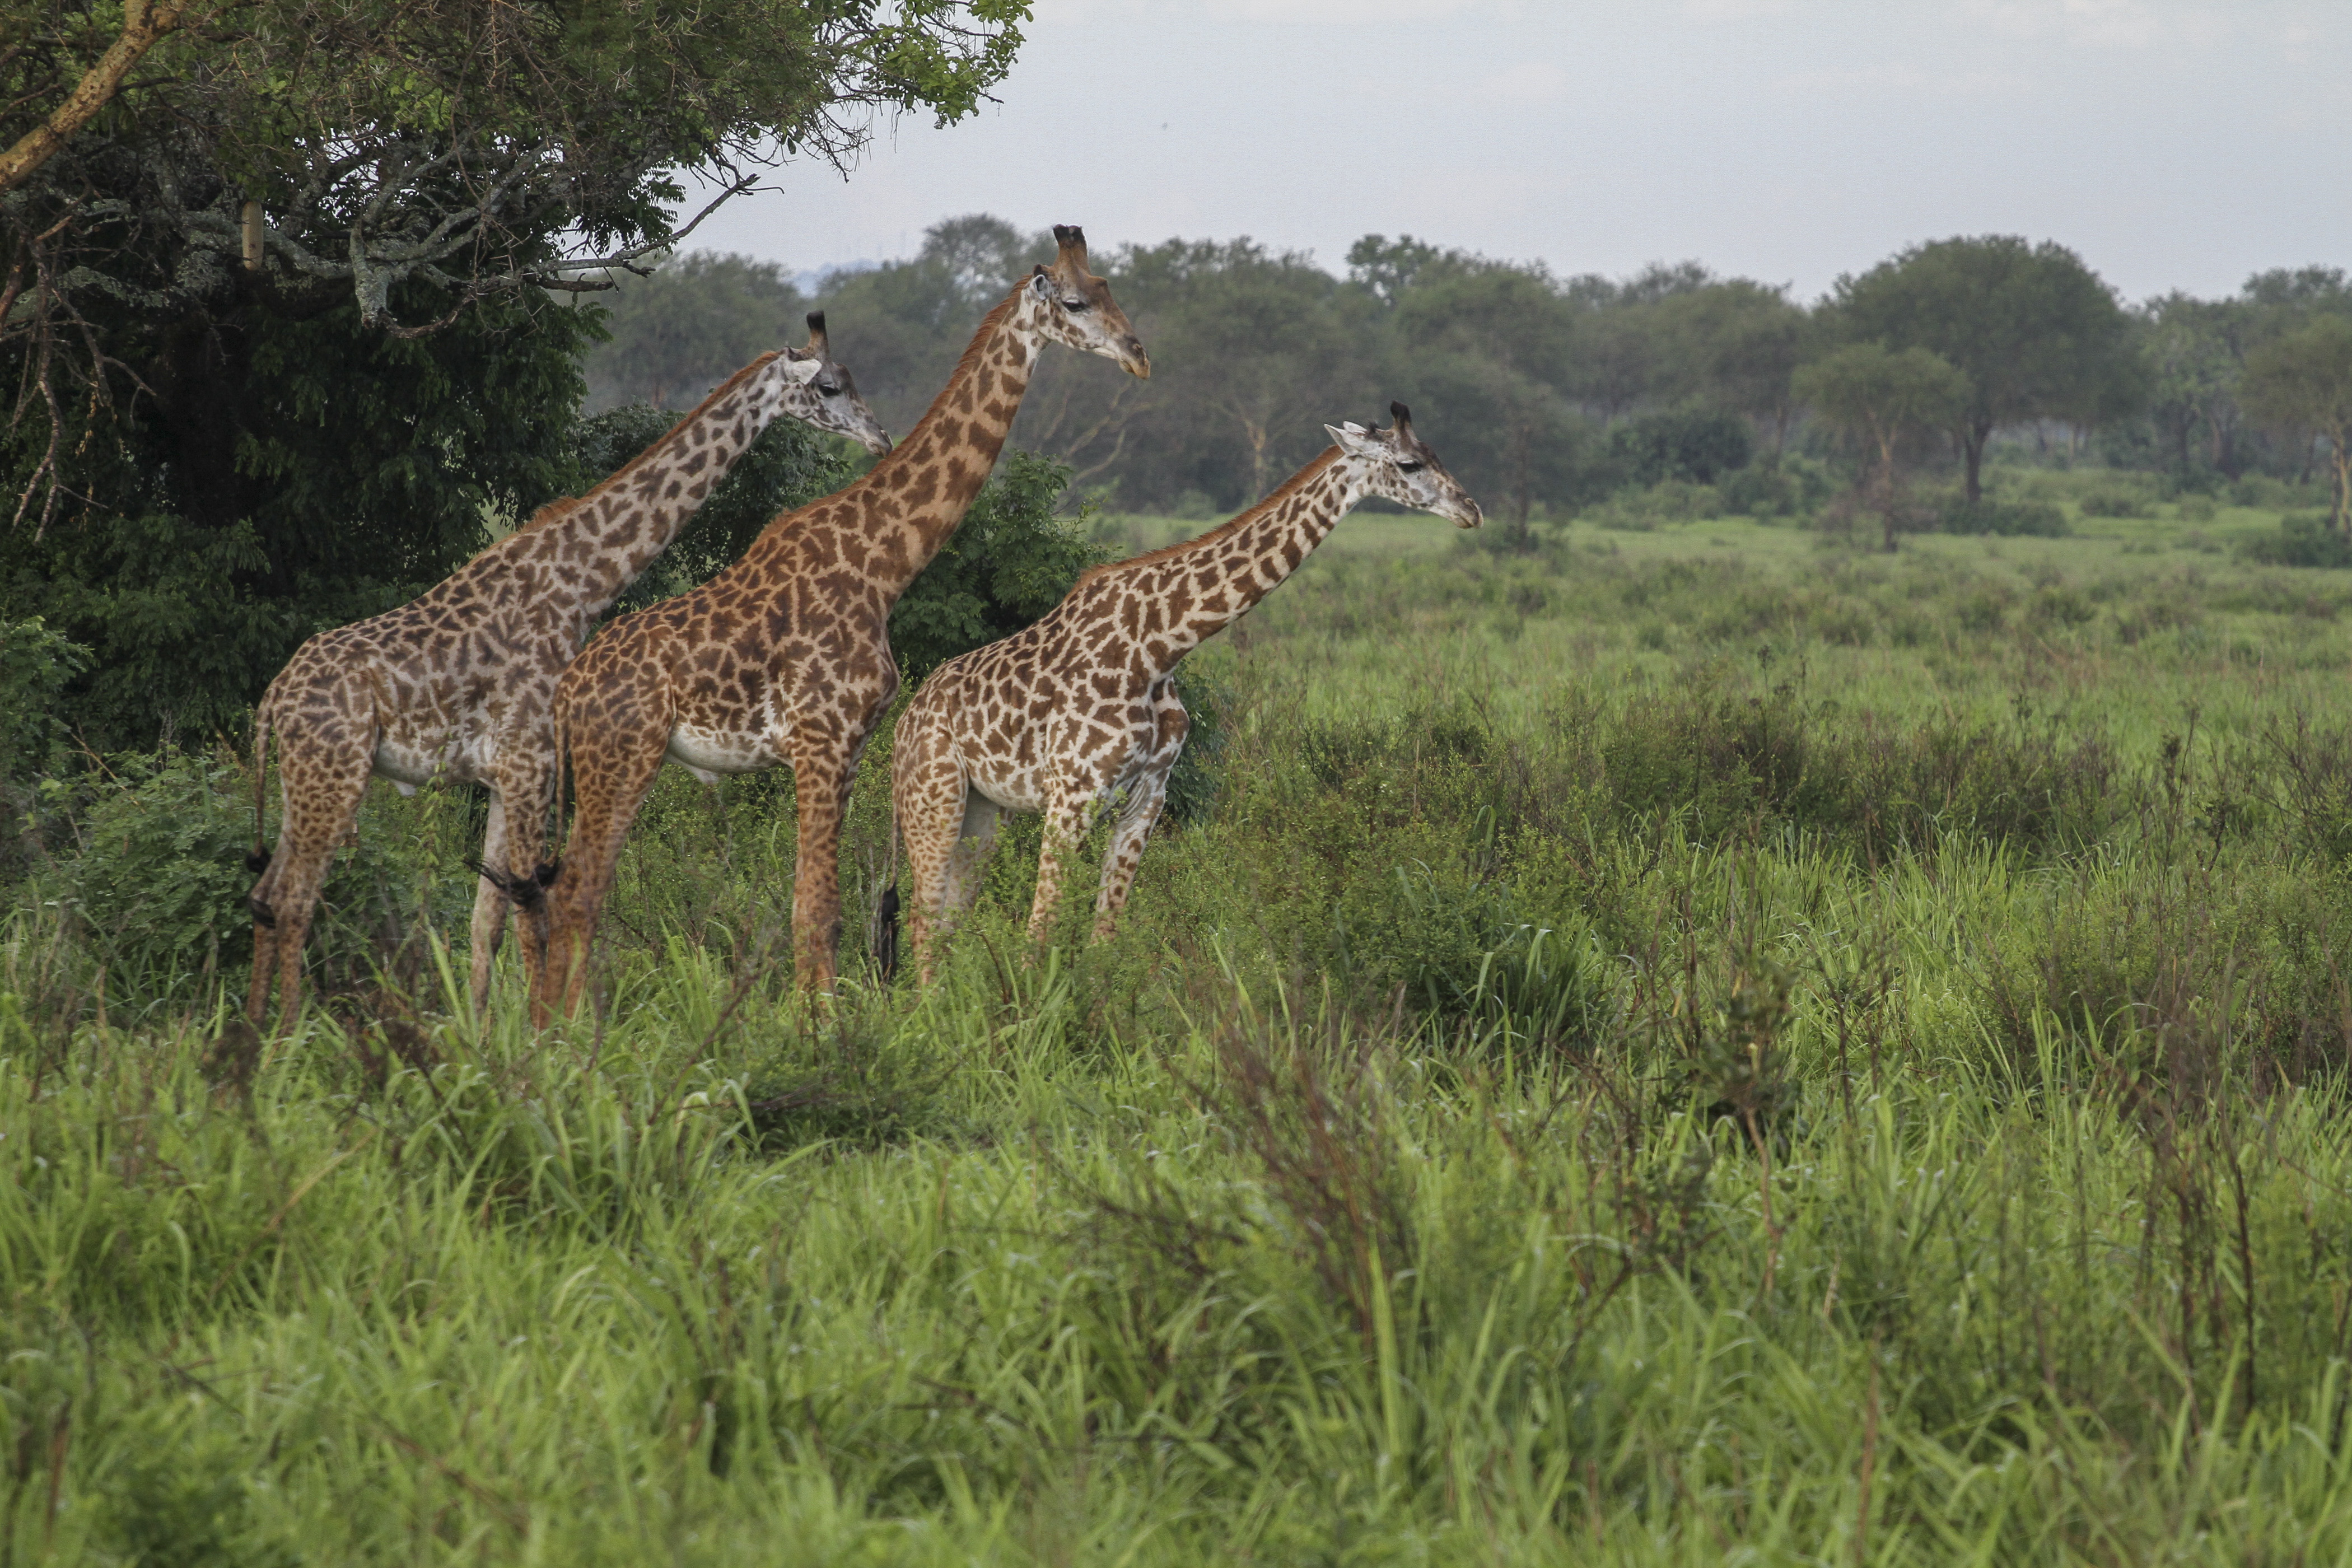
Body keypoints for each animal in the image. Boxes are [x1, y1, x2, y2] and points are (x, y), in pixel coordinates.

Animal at [243, 319, 889, 1029]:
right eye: (829, 387)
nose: (881, 439)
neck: (581, 581)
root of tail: (271, 702)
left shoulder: (504, 774)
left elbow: (487, 921)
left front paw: (482, 1032)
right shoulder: (532, 761)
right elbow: (532, 912)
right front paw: (539, 1034)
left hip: (304, 784)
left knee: (266, 894)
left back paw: (253, 1028)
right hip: (335, 778)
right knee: (295, 899)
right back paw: (288, 1034)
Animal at [540, 230, 1147, 1020]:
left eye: (1109, 288)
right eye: (1076, 302)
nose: (1138, 354)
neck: (884, 565)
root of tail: (566, 691)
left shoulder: (851, 749)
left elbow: (820, 900)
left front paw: (818, 1017)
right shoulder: (821, 739)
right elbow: (818, 904)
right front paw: (819, 1031)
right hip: (621, 759)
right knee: (577, 892)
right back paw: (560, 1033)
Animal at [884, 404, 1467, 982]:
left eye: (1437, 452)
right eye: (1411, 464)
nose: (1471, 510)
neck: (1160, 649)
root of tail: (905, 718)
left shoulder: (1148, 796)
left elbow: (1104, 939)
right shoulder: (1072, 794)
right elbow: (1039, 932)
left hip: (985, 811)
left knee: (948, 920)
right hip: (934, 795)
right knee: (921, 921)